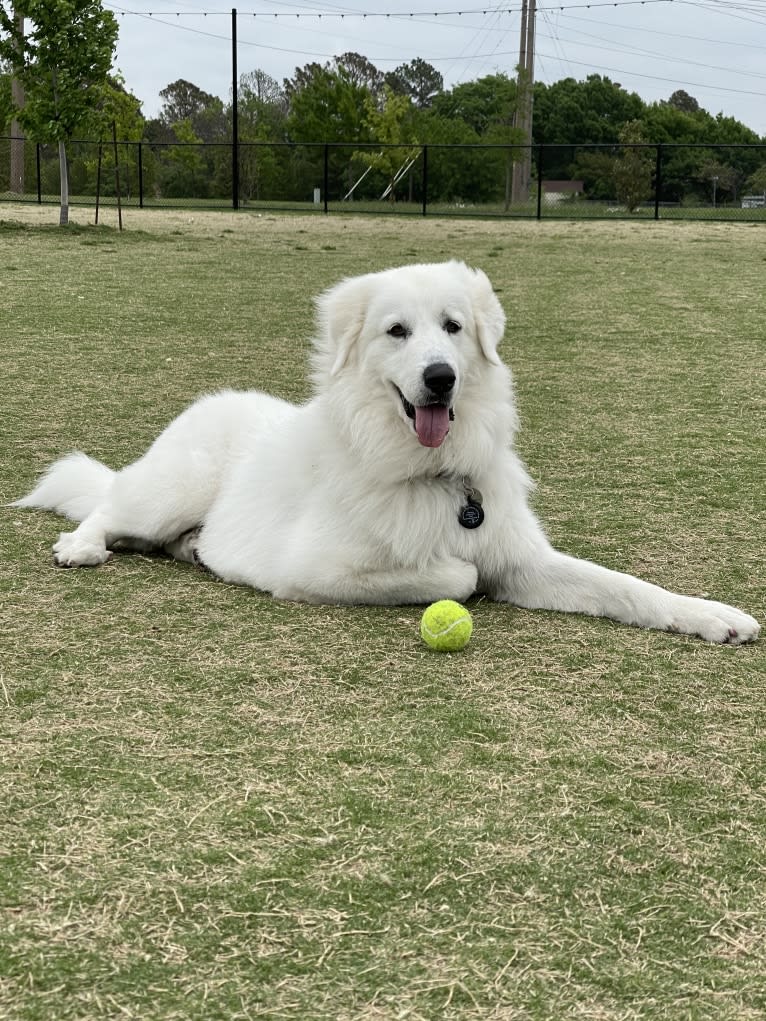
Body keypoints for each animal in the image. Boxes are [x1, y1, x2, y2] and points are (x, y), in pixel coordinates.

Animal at [15, 263, 759, 645]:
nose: (441, 377)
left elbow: (626, 587)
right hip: (169, 490)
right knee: (107, 508)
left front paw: (711, 616)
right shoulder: (317, 570)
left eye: (453, 328)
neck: (434, 473)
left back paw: (194, 548)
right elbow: (456, 574)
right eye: (397, 331)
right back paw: (82, 546)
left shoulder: (526, 562)